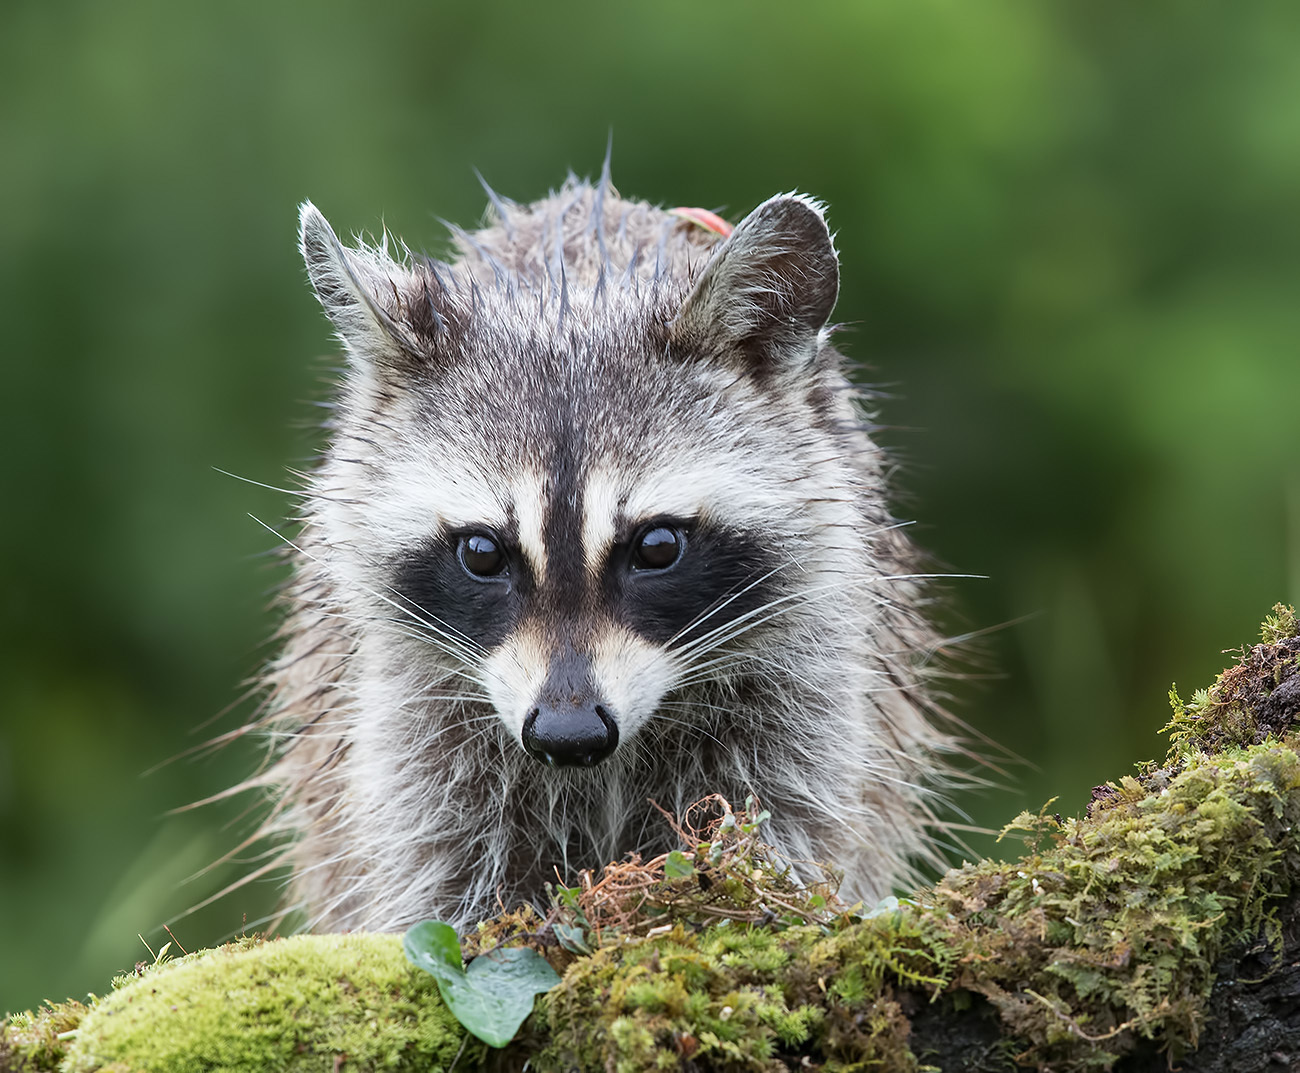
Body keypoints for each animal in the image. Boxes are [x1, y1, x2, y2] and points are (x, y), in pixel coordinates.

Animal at [250, 167, 946, 931]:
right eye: (483, 554)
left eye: (659, 547)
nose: (568, 732)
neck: (576, 297)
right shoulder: (409, 701)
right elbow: (443, 868)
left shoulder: (807, 666)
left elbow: (786, 812)